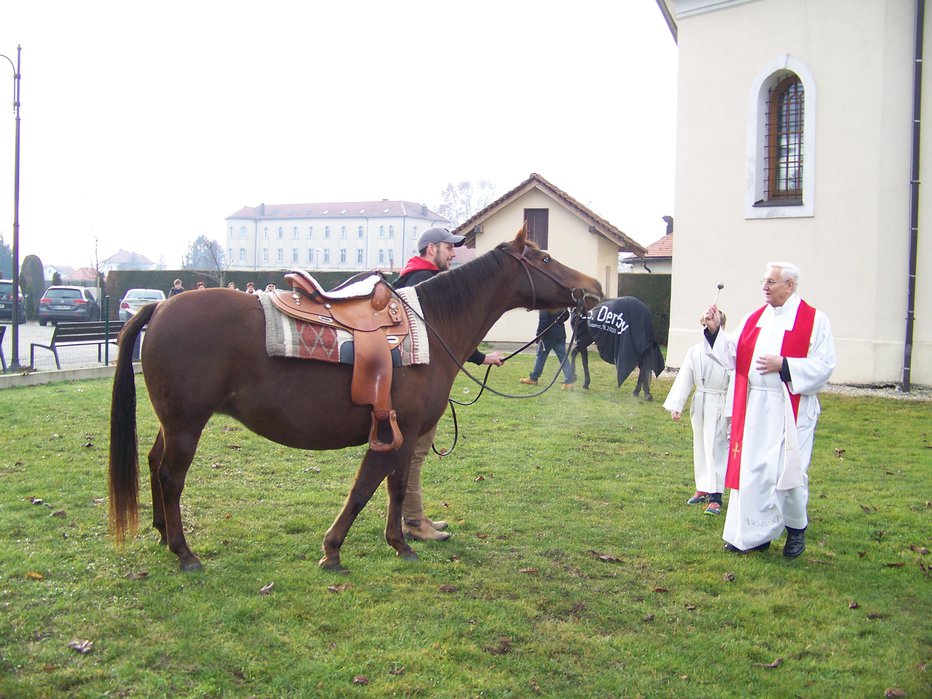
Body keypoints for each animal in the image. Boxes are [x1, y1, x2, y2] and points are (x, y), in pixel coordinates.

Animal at [109, 227, 604, 572]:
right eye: (544, 257)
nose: (594, 288)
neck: (432, 328)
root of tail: (160, 307)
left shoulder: (402, 434)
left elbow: (392, 488)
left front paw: (396, 542)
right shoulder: (398, 432)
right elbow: (370, 488)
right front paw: (342, 550)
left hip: (173, 423)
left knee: (153, 463)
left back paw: (161, 533)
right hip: (187, 425)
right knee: (171, 477)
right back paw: (184, 552)